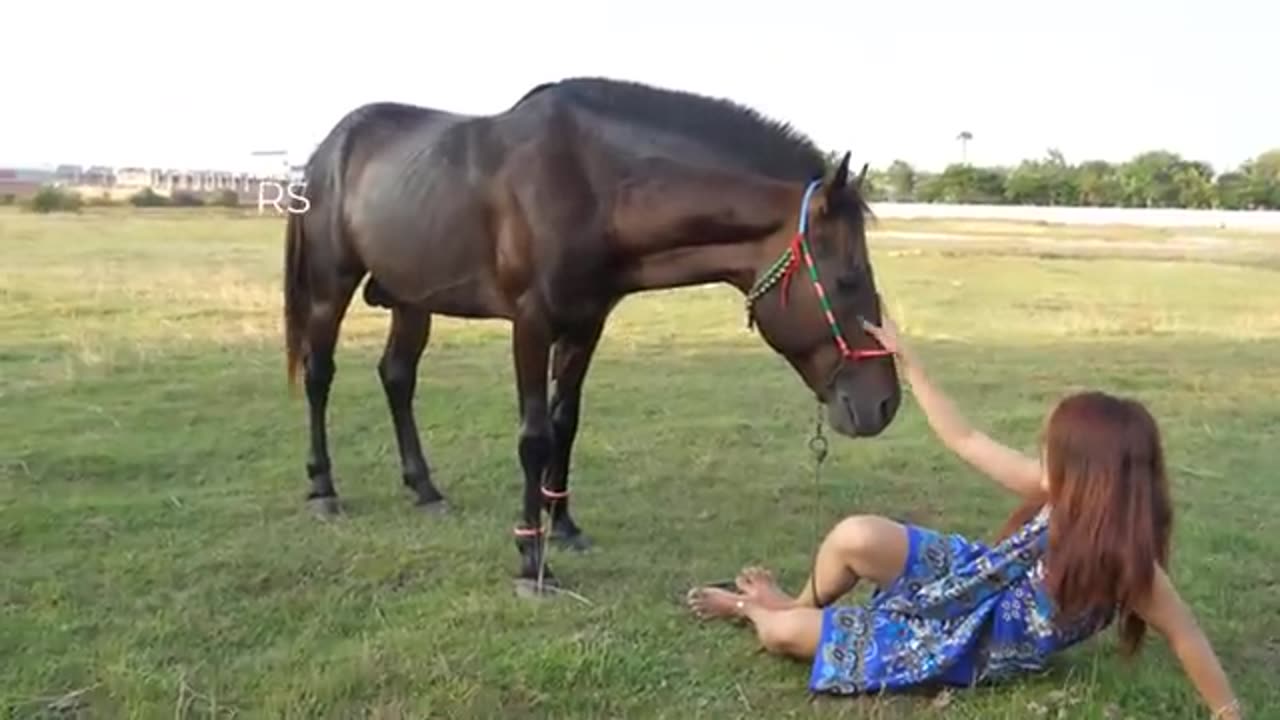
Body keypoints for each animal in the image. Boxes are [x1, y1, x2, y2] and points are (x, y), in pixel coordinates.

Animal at [282, 75, 901, 586]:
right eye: (848, 279)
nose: (885, 404)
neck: (590, 183)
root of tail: (328, 148)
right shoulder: (530, 324)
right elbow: (534, 436)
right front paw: (531, 556)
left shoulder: (585, 324)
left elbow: (565, 423)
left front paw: (564, 524)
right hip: (332, 287)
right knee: (319, 375)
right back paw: (323, 489)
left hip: (412, 299)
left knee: (397, 378)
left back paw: (425, 489)